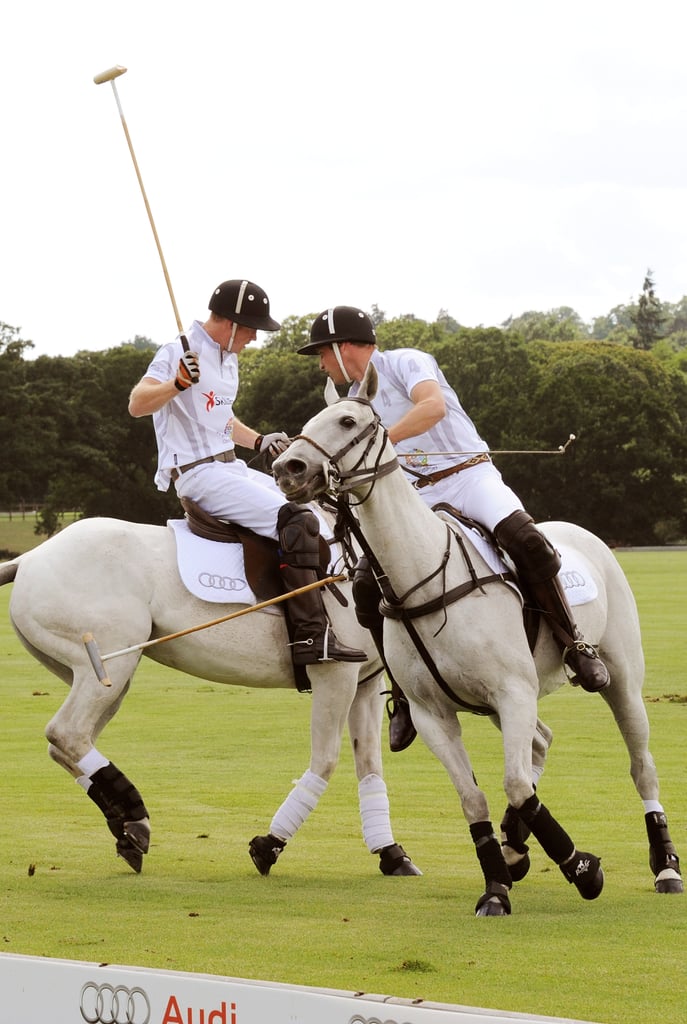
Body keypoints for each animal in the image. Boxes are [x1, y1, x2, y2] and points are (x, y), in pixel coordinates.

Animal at [0, 516, 421, 876]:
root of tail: (29, 558)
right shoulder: (335, 674)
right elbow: (325, 762)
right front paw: (267, 846)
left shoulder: (363, 684)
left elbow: (370, 766)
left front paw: (392, 854)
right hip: (104, 663)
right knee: (65, 733)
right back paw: (135, 814)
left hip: (103, 675)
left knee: (66, 744)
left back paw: (127, 827)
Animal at [272, 366, 683, 913]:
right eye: (304, 424)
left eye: (347, 421)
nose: (287, 468)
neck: (423, 575)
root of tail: (583, 532)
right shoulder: (435, 714)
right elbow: (476, 797)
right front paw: (496, 886)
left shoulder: (513, 692)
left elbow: (515, 784)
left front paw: (582, 869)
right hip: (500, 703)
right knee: (541, 744)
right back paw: (513, 849)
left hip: (620, 680)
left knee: (641, 765)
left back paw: (665, 867)